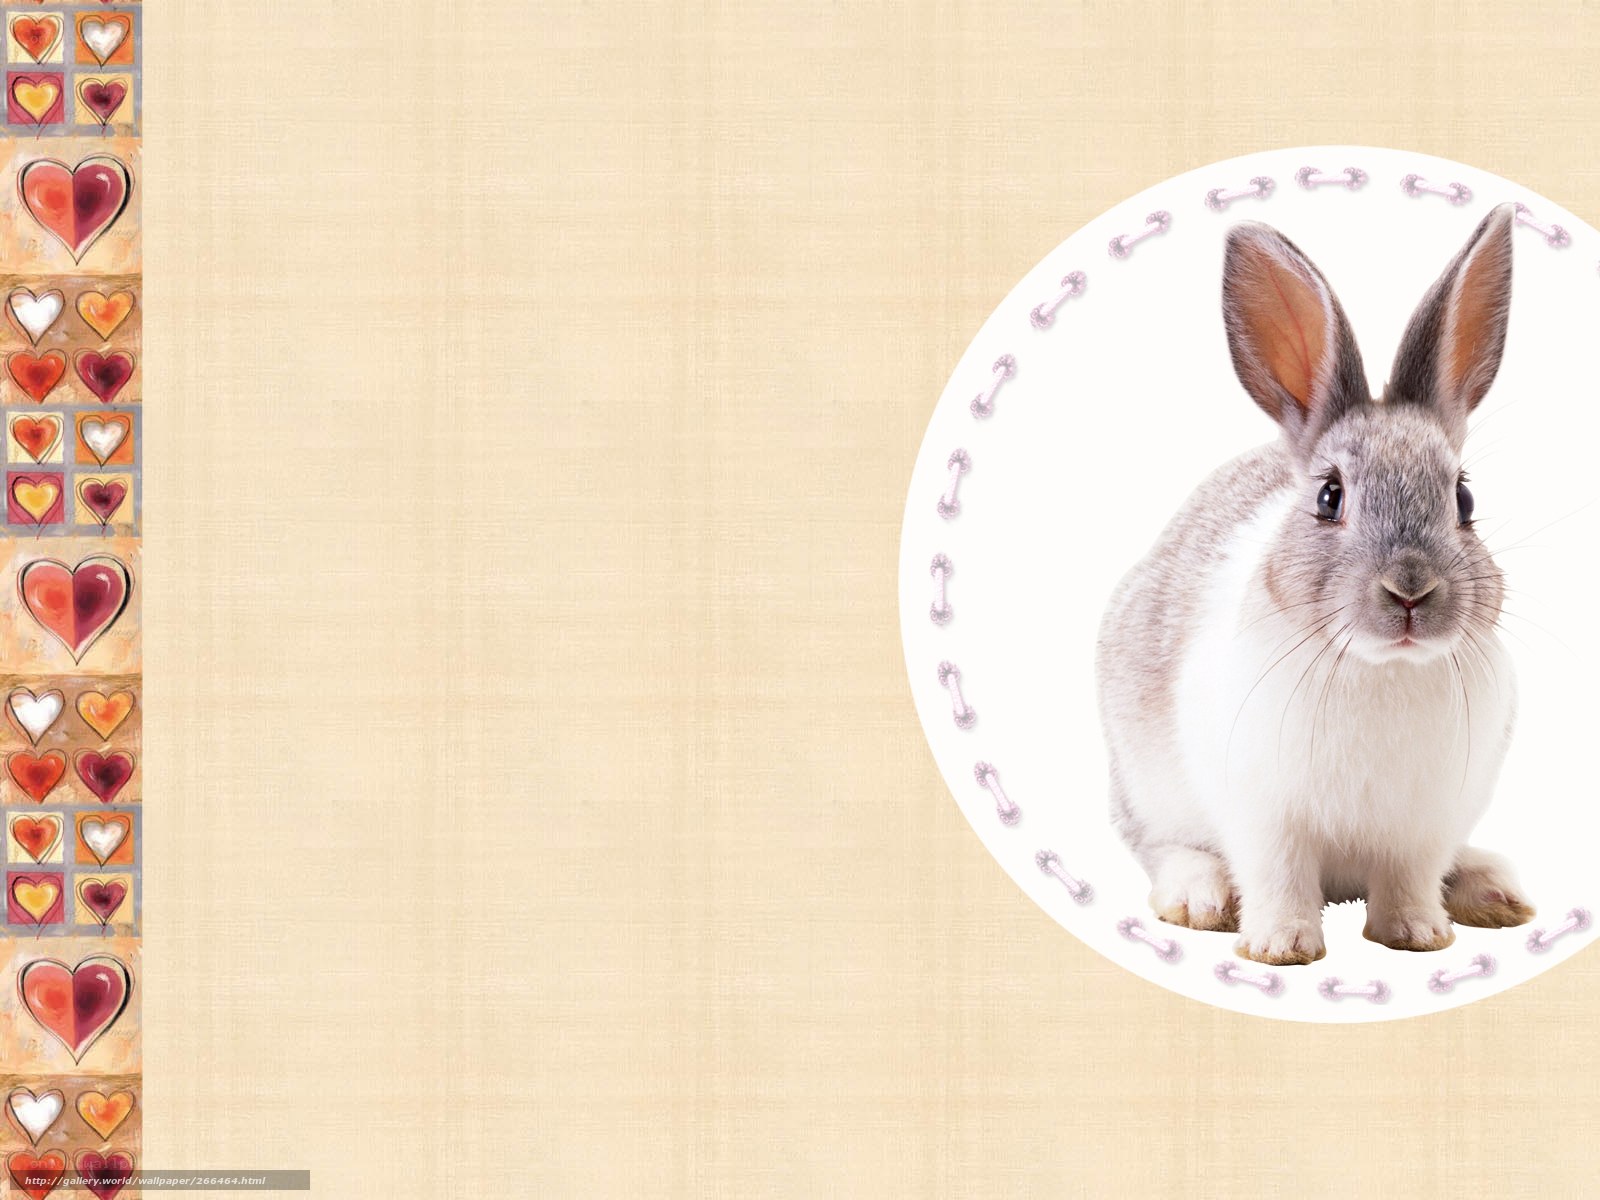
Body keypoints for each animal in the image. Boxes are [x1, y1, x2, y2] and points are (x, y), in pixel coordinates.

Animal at [1095, 203, 1535, 965]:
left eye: (1464, 499)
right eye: (1330, 497)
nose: (1410, 591)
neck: (1382, 668)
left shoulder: (1424, 825)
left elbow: (1410, 879)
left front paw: (1417, 935)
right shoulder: (1264, 816)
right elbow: (1278, 876)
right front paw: (1281, 947)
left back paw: (1491, 890)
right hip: (1148, 787)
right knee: (1161, 846)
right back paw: (1199, 896)